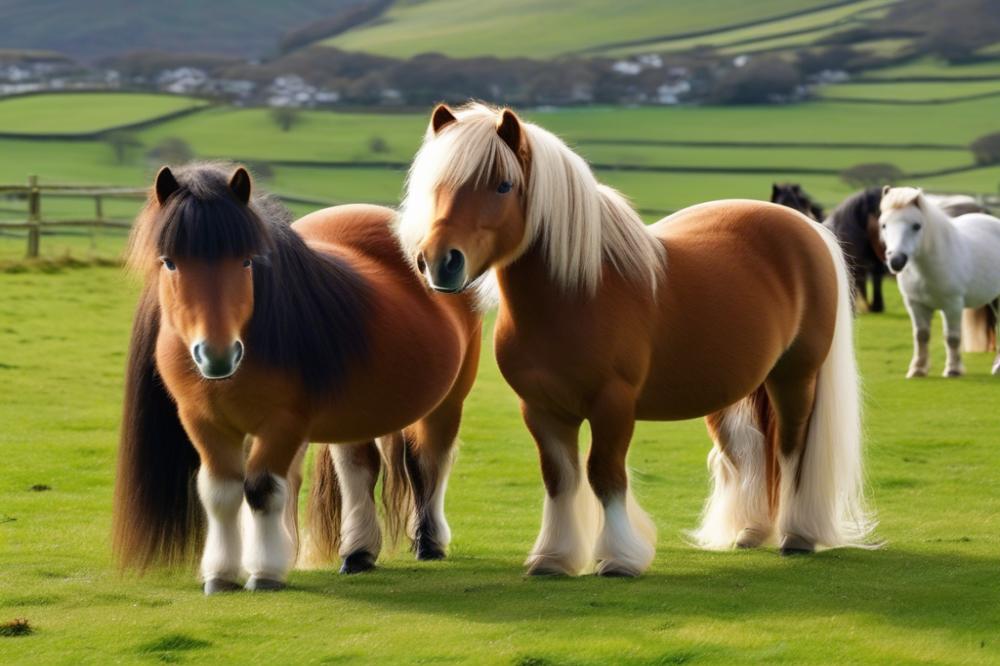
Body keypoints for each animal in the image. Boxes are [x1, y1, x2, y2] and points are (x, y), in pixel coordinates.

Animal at [112, 161, 480, 592]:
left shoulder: (283, 424)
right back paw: (358, 551)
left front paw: (265, 572)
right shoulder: (202, 421)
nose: (218, 355)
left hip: (448, 400)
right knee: (359, 468)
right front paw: (221, 575)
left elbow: (263, 489)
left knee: (429, 460)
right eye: (170, 261)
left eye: (246, 261)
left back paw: (429, 540)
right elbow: (221, 493)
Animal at [396, 105, 876, 576]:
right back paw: (752, 532)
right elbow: (559, 478)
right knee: (753, 451)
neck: (575, 294)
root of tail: (808, 229)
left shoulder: (613, 404)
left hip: (795, 377)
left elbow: (604, 474)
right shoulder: (541, 409)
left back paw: (798, 536)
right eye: (436, 184)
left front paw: (618, 558)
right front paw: (553, 558)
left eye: (503, 184)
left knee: (792, 448)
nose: (439, 261)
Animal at [884, 185, 1000, 378]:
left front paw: (953, 369)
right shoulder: (915, 305)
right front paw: (918, 369)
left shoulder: (952, 305)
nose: (896, 261)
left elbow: (952, 337)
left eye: (916, 226)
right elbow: (921, 335)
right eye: (884, 225)